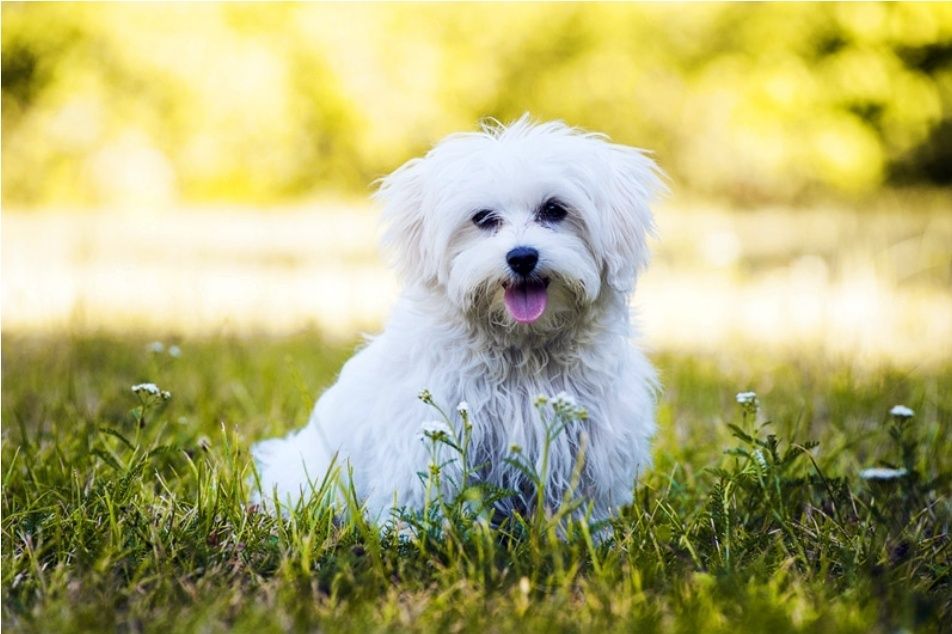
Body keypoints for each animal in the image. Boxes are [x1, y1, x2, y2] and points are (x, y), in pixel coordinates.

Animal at [253, 116, 668, 520]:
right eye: (483, 218)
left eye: (554, 210)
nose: (522, 257)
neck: (523, 350)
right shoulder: (427, 435)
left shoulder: (589, 445)